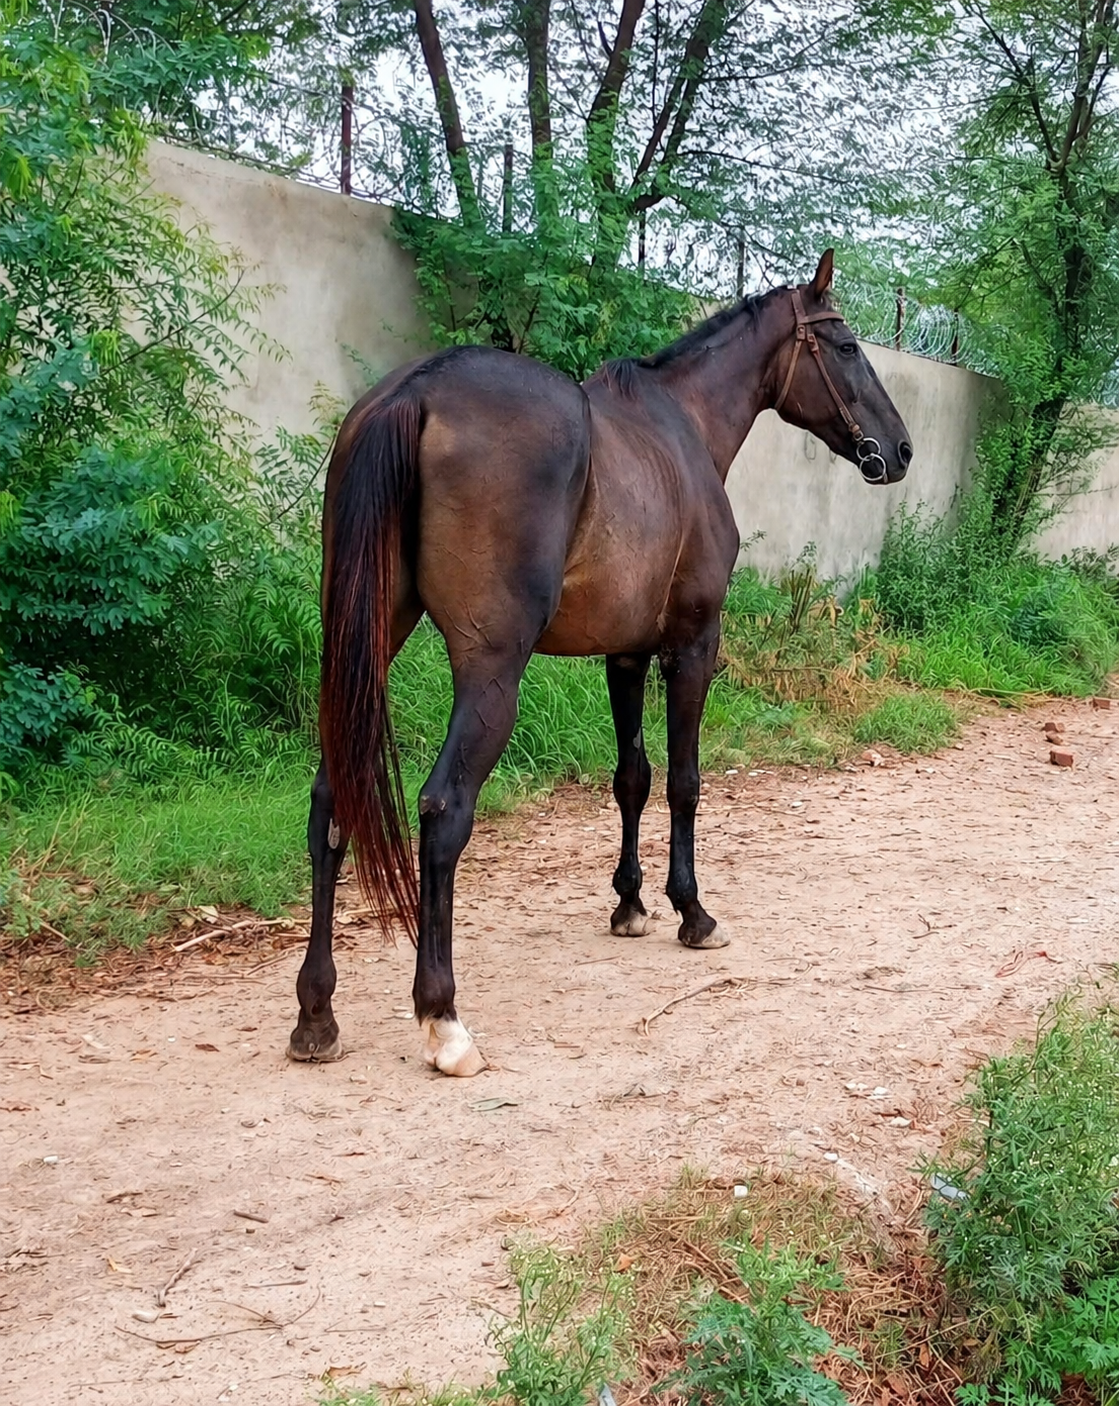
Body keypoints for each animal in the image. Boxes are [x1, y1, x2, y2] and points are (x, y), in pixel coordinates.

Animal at [288, 249, 912, 1077]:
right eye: (843, 346)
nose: (898, 450)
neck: (682, 427)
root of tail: (414, 391)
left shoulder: (623, 655)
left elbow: (631, 778)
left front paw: (629, 903)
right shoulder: (691, 647)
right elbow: (683, 782)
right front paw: (691, 910)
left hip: (365, 653)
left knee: (331, 802)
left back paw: (316, 1013)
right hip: (491, 674)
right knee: (444, 809)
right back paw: (442, 1018)